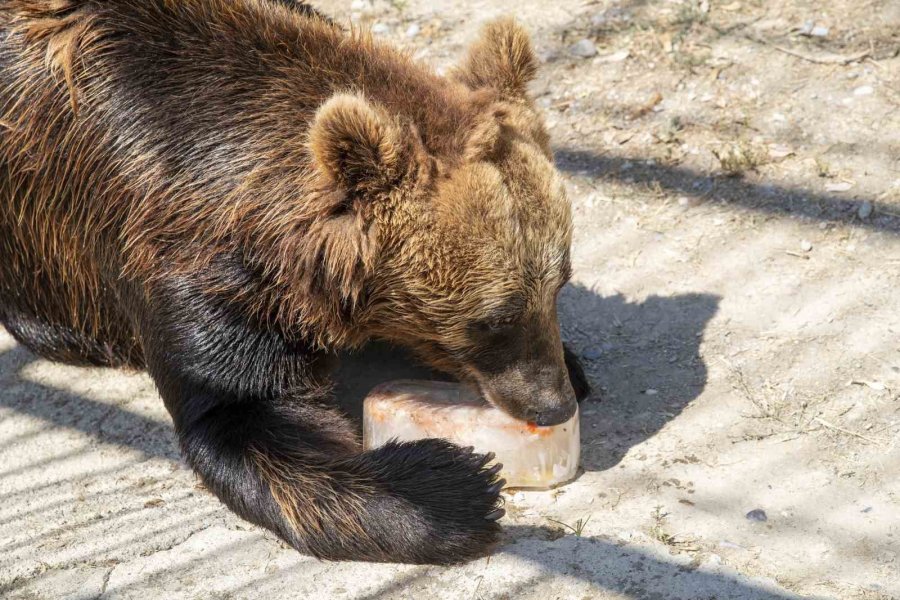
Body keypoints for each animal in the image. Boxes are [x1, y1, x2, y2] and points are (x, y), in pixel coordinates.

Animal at [0, 0, 588, 564]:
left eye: (559, 283)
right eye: (492, 319)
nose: (553, 403)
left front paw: (575, 366)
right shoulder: (188, 265)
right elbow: (246, 410)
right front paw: (452, 485)